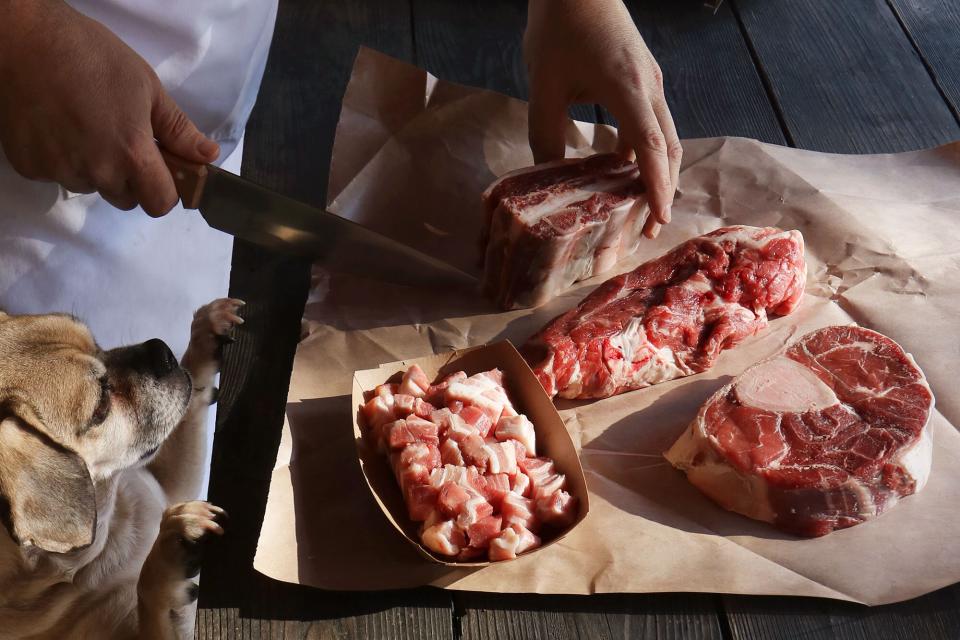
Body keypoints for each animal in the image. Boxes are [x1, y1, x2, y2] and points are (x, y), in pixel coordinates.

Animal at [0, 298, 244, 636]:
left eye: (96, 341)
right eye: (102, 405)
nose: (161, 351)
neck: (110, 516)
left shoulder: (170, 485)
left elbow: (191, 406)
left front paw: (205, 335)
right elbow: (147, 598)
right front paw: (170, 550)